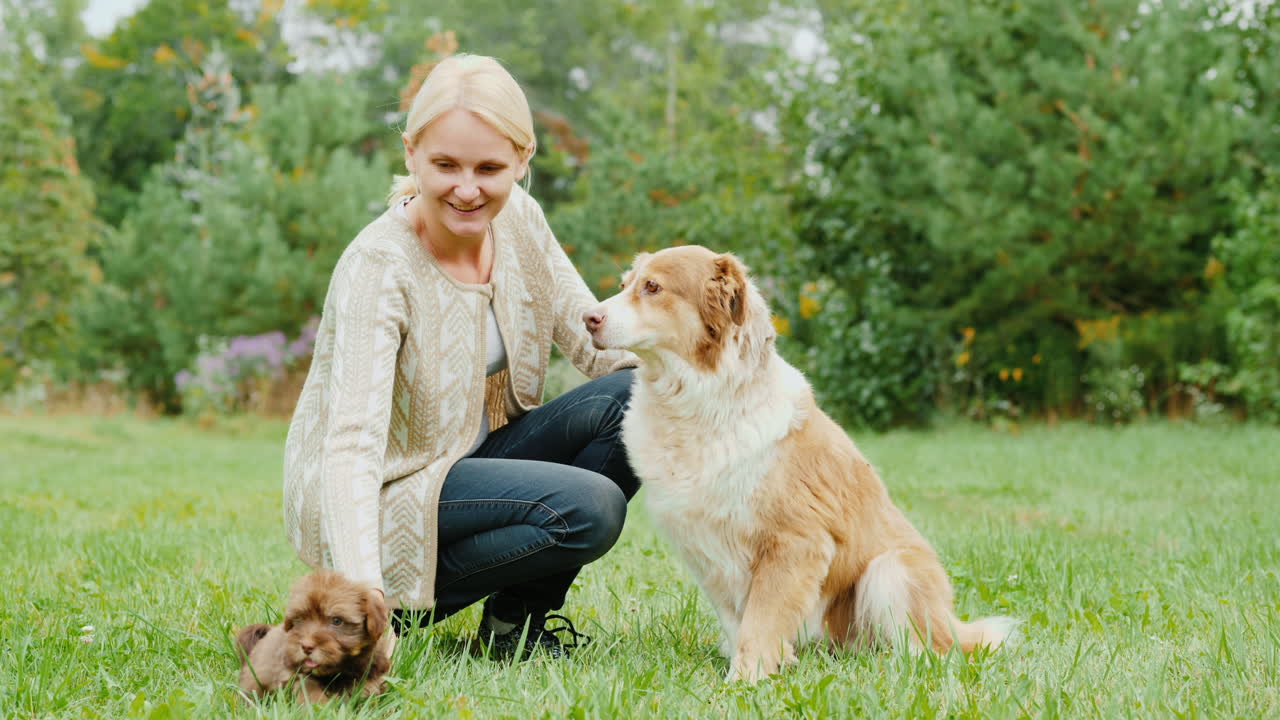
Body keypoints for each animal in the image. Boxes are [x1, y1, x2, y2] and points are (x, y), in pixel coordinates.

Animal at [232, 566, 386, 702]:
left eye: (337, 621)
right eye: (300, 619)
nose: (306, 647)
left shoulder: (369, 679)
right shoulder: (300, 677)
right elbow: (311, 693)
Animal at [586, 244, 1013, 676]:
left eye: (653, 287)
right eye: (624, 286)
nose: (588, 319)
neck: (698, 405)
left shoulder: (794, 541)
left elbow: (762, 618)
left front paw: (747, 675)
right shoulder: (706, 547)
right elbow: (738, 619)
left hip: (891, 570)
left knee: (931, 650)